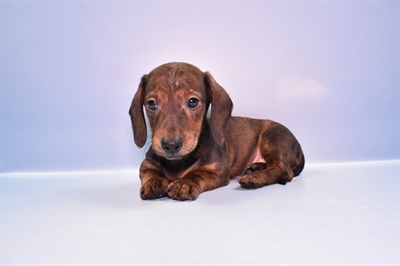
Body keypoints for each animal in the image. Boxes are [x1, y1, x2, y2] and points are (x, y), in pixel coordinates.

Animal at [130, 61, 304, 200]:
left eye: (193, 102)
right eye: (151, 104)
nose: (171, 145)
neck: (178, 162)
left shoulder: (218, 171)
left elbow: (197, 173)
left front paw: (184, 183)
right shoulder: (146, 166)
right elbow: (152, 173)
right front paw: (154, 183)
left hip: (272, 137)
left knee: (283, 169)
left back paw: (255, 177)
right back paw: (255, 168)